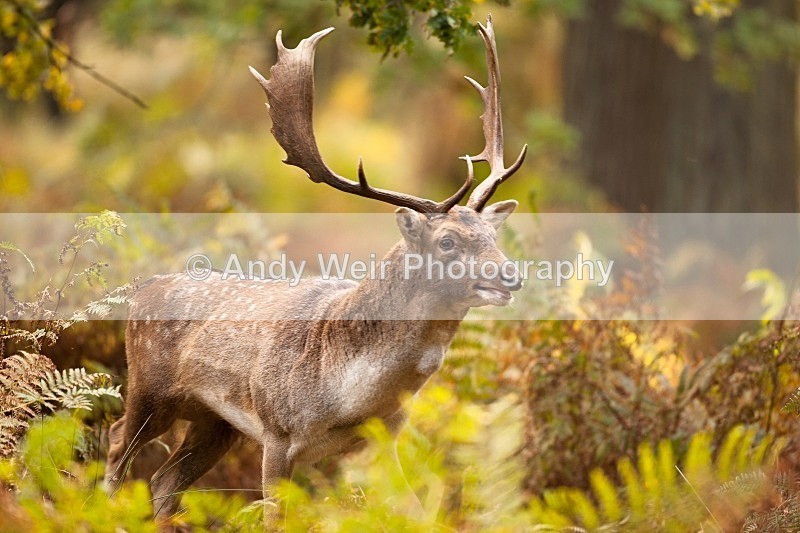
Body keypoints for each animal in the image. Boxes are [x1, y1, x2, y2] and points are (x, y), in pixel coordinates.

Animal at [104, 16, 527, 523]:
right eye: (446, 241)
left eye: (493, 236)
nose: (512, 275)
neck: (346, 398)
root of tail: (140, 290)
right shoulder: (277, 431)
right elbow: (274, 518)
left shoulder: (386, 437)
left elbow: (411, 508)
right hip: (149, 387)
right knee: (116, 445)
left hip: (215, 421)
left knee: (164, 481)